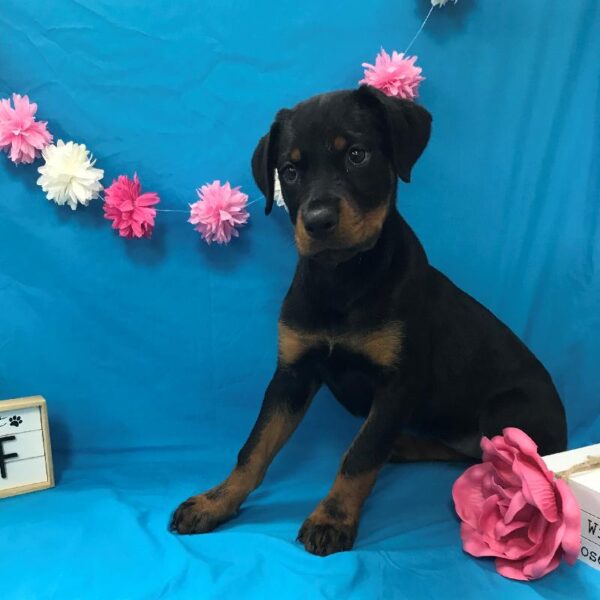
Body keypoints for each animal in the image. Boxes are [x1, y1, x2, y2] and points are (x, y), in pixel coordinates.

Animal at [170, 86, 568, 556]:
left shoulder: (398, 383)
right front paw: (214, 501)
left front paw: (332, 518)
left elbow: (359, 456)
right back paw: (405, 444)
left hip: (508, 413)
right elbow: (254, 447)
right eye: (290, 170)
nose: (318, 221)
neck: (343, 278)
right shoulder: (292, 373)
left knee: (492, 457)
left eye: (357, 154)